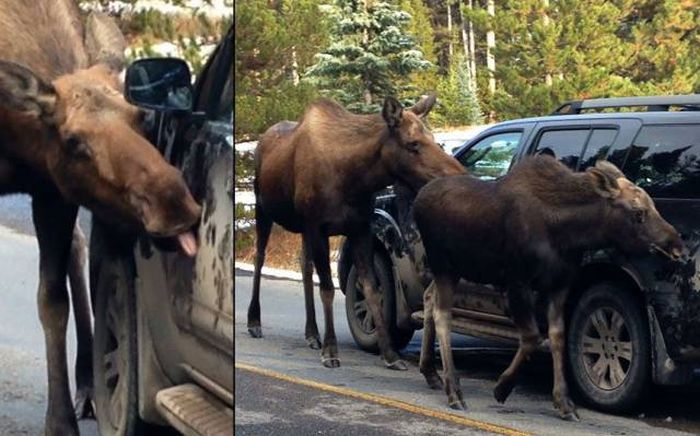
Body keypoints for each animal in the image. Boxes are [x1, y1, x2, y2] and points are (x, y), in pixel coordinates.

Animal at [249, 94, 468, 368]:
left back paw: (312, 333)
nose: (460, 175)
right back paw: (254, 322)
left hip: (302, 227)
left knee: (304, 265)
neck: (355, 179)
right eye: (413, 143)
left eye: (434, 138)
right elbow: (328, 289)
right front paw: (331, 351)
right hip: (262, 207)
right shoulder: (318, 227)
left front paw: (390, 354)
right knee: (259, 257)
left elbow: (371, 289)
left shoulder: (359, 228)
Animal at [412, 156, 680, 418]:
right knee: (443, 315)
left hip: (454, 271)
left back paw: (431, 372)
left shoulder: (560, 284)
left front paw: (564, 402)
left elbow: (557, 336)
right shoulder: (517, 282)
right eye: (639, 212)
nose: (676, 244)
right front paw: (503, 387)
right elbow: (532, 336)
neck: (568, 233)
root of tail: (417, 200)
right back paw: (454, 391)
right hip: (443, 266)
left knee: (429, 298)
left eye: (653, 205)